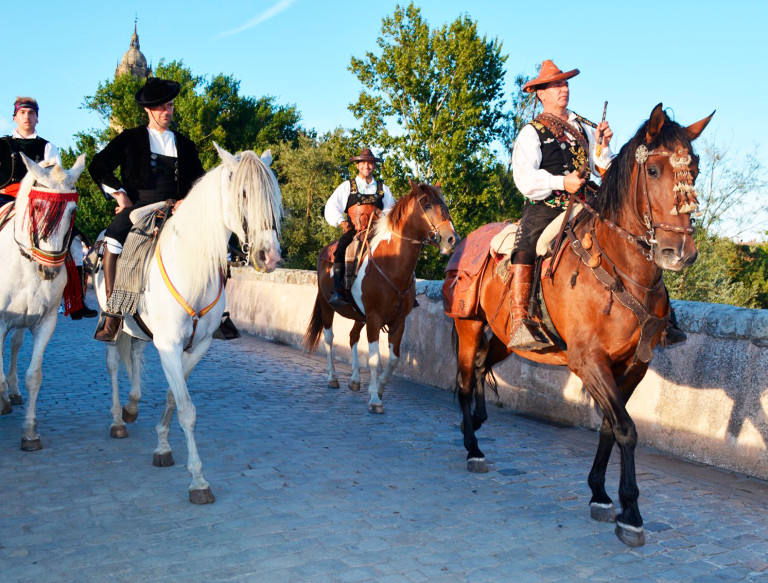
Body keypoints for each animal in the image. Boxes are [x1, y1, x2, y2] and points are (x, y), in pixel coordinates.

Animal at [0, 153, 86, 450]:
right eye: (37, 206)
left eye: (72, 210)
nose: (49, 270)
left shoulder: (45, 322)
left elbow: (34, 376)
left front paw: (30, 432)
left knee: (15, 345)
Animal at [95, 144, 282, 504]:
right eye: (243, 193)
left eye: (273, 195)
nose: (270, 257)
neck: (192, 266)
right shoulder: (169, 345)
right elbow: (186, 409)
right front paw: (198, 480)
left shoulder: (197, 346)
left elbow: (173, 397)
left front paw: (162, 447)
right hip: (111, 323)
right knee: (111, 364)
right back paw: (117, 420)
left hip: (142, 332)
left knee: (135, 357)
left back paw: (131, 406)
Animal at [304, 182, 456, 416]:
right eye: (427, 204)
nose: (451, 239)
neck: (392, 267)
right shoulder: (374, 319)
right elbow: (375, 359)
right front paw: (375, 399)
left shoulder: (397, 321)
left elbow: (393, 359)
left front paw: (380, 388)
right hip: (327, 306)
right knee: (329, 339)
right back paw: (332, 377)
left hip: (360, 316)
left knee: (352, 337)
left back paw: (355, 379)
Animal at [450, 105, 712, 548]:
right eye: (653, 170)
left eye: (693, 167)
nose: (680, 252)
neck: (621, 269)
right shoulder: (588, 361)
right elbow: (626, 428)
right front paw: (631, 513)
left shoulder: (633, 365)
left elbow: (610, 425)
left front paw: (601, 494)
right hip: (468, 325)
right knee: (467, 378)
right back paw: (472, 448)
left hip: (507, 338)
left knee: (484, 363)